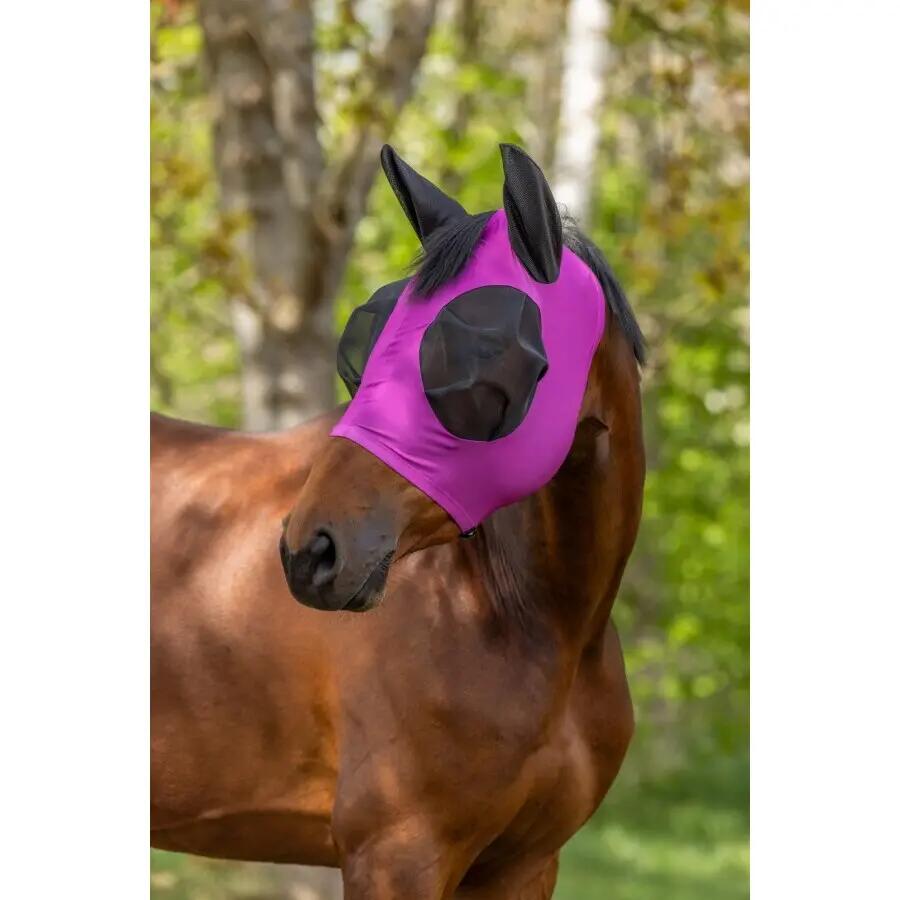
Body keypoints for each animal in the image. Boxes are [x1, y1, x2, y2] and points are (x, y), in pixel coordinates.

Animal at [151, 144, 646, 899]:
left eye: (481, 358)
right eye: (361, 350)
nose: (309, 552)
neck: (538, 622)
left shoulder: (526, 864)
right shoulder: (397, 855)